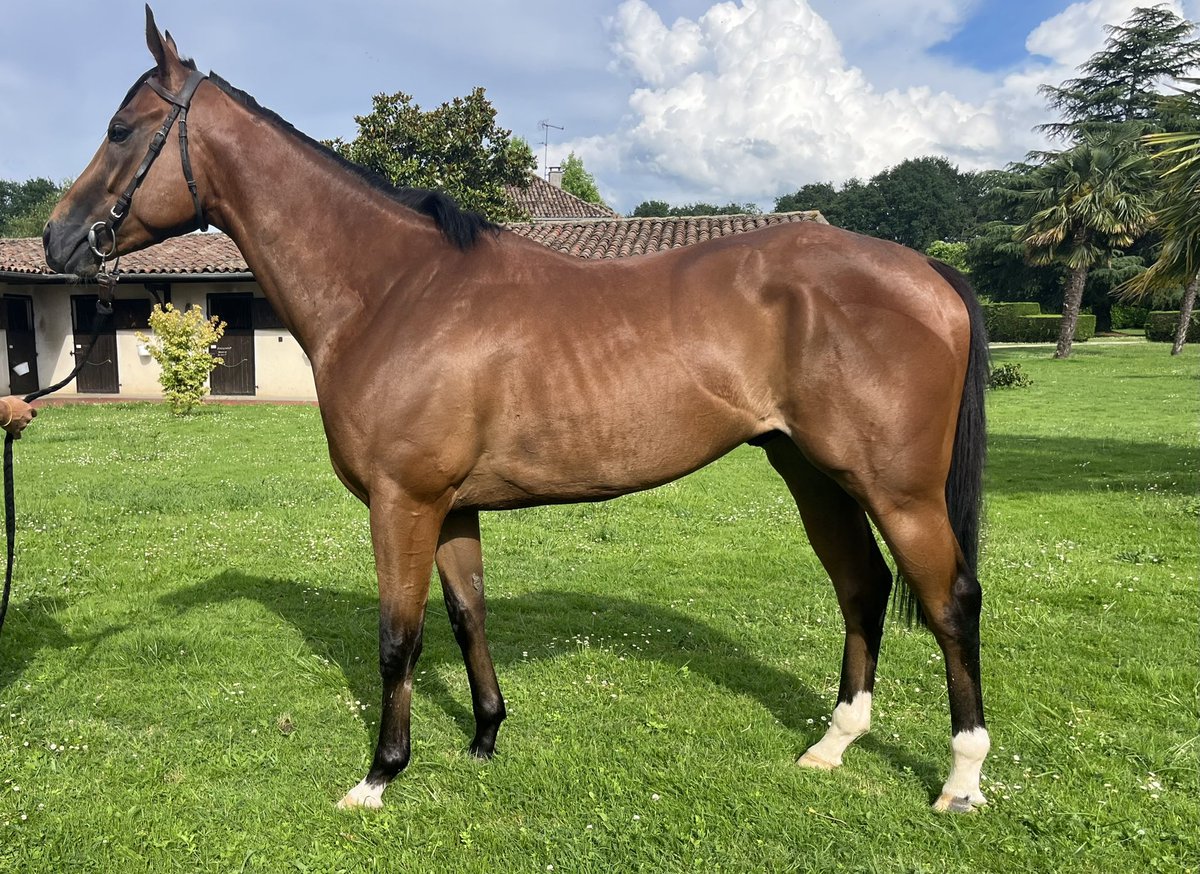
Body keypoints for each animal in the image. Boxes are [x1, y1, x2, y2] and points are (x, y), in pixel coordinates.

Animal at [42, 8, 988, 811]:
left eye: (121, 130)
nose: (56, 239)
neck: (393, 291)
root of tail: (926, 272)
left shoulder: (403, 503)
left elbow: (398, 636)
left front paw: (380, 776)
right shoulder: (452, 509)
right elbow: (467, 617)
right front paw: (484, 738)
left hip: (898, 490)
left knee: (949, 601)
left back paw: (962, 778)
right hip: (812, 472)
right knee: (862, 587)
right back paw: (833, 745)